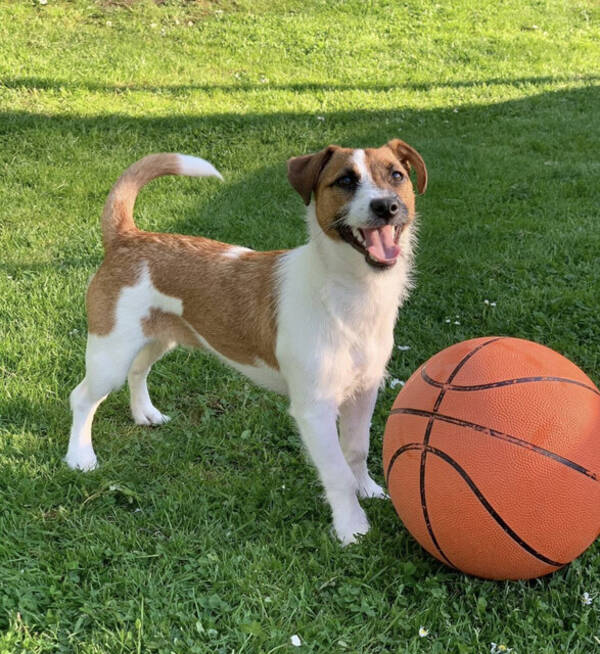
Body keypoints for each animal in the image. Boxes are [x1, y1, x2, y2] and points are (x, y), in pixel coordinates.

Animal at [65, 142, 426, 548]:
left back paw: (146, 414)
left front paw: (368, 490)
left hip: (159, 336)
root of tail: (128, 236)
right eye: (345, 180)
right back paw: (80, 457)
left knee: (139, 370)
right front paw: (352, 528)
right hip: (109, 352)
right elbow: (336, 472)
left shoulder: (364, 392)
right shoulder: (314, 410)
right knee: (83, 397)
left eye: (396, 175)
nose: (386, 206)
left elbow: (356, 450)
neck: (349, 293)